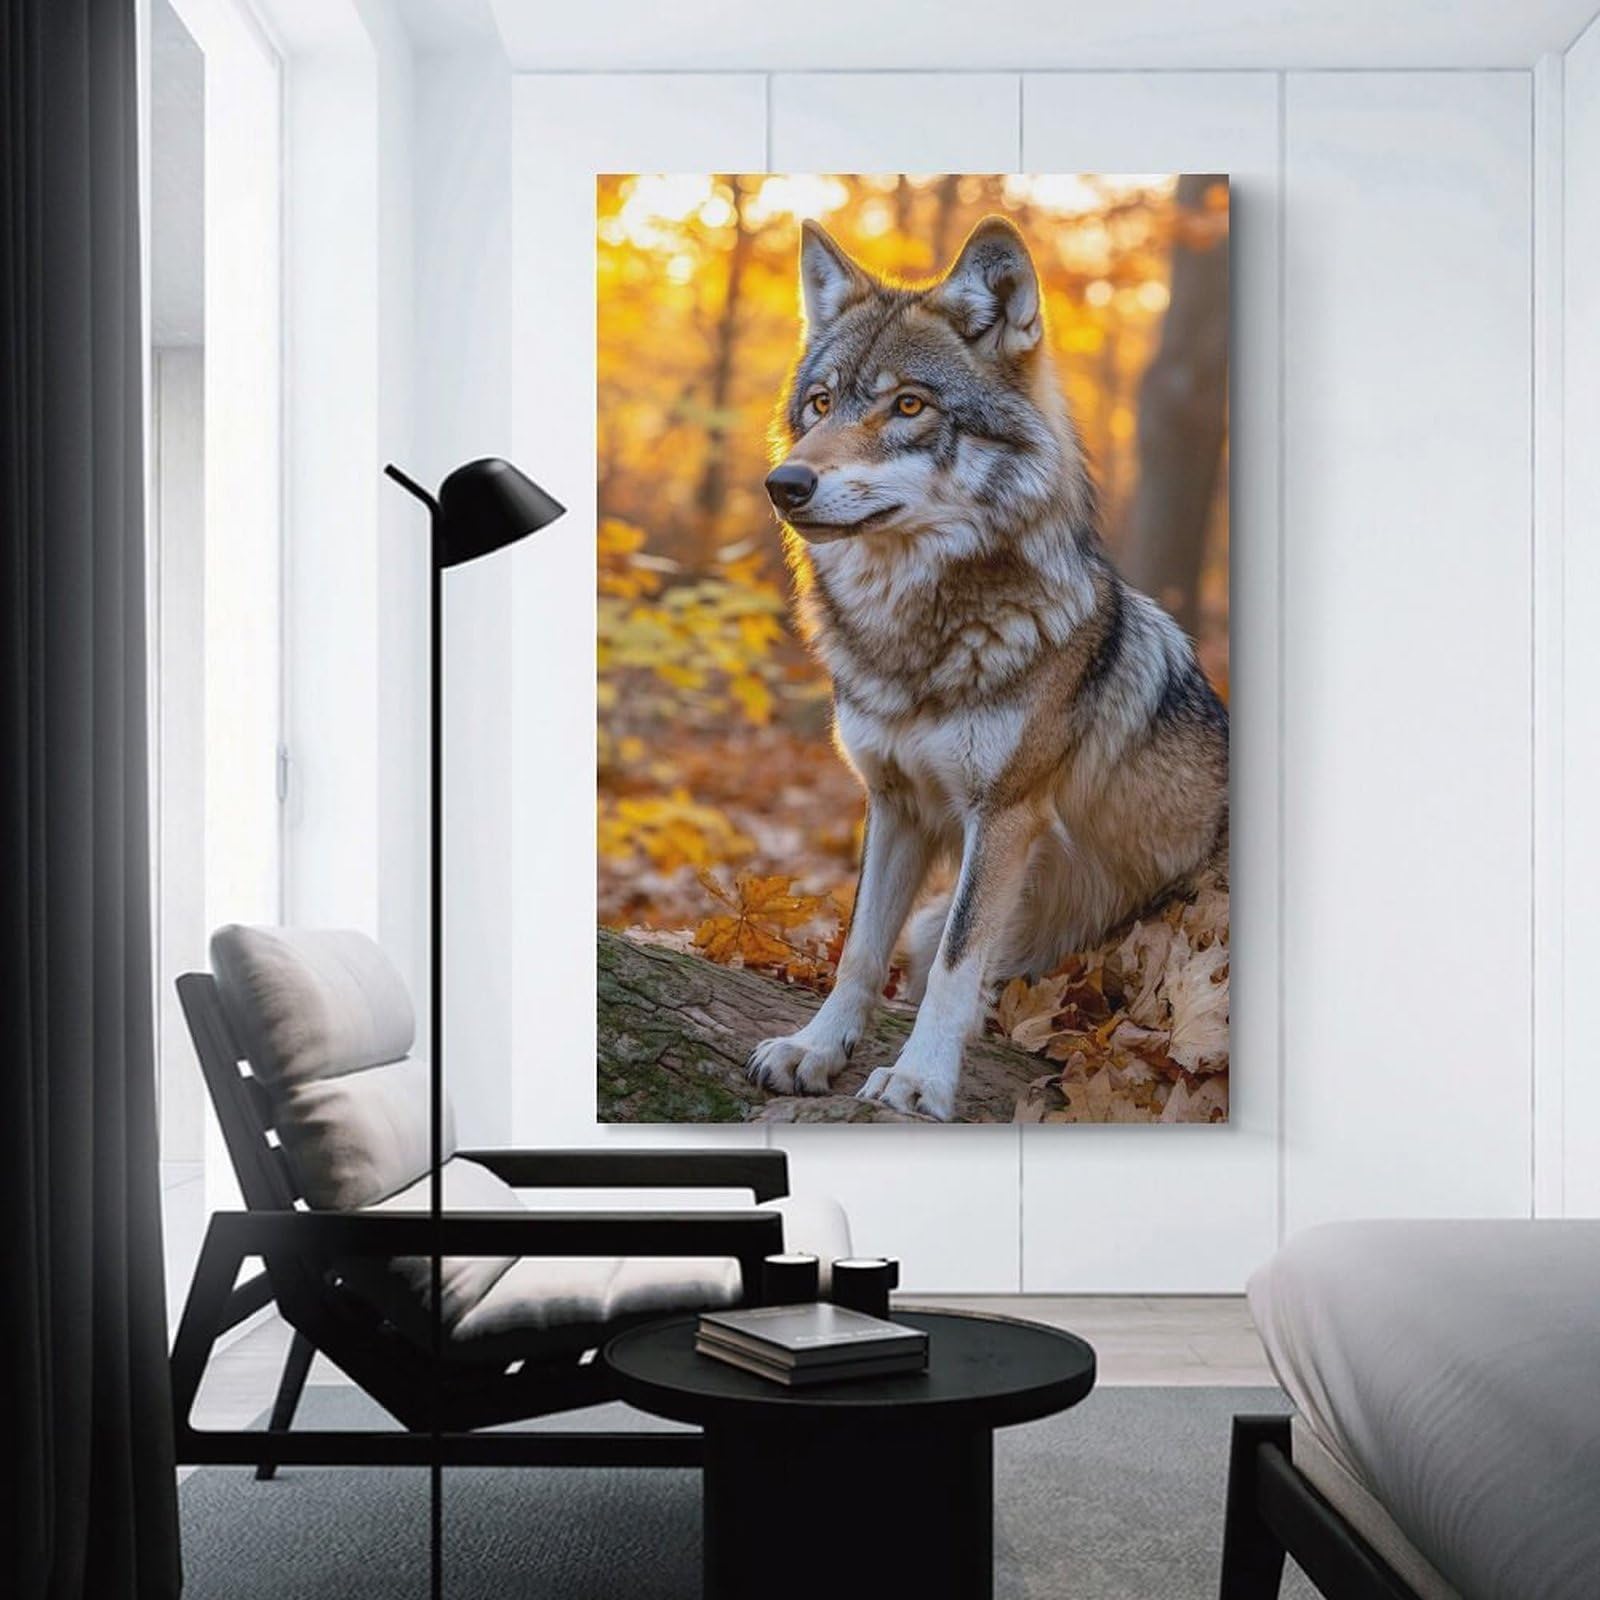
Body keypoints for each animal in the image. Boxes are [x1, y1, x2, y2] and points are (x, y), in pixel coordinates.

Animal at [745, 215, 1228, 1121]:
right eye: (821, 404)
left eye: (908, 404)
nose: (783, 483)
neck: (916, 643)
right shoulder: (893, 803)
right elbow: (861, 948)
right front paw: (815, 1048)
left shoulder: (1005, 814)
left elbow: (955, 962)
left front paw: (920, 1079)